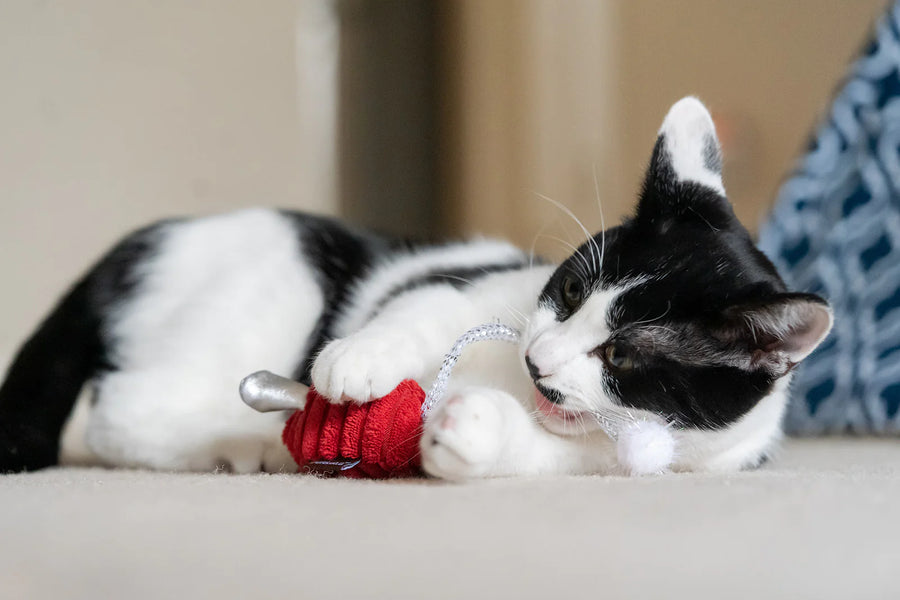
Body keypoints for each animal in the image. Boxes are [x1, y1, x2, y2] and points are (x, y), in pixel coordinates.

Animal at [0, 99, 828, 482]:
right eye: (567, 290)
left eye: (622, 356)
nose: (538, 359)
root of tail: (136, 242)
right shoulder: (463, 286)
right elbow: (421, 308)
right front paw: (354, 362)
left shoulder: (632, 460)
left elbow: (532, 452)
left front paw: (470, 431)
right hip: (279, 288)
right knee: (122, 410)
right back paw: (245, 441)